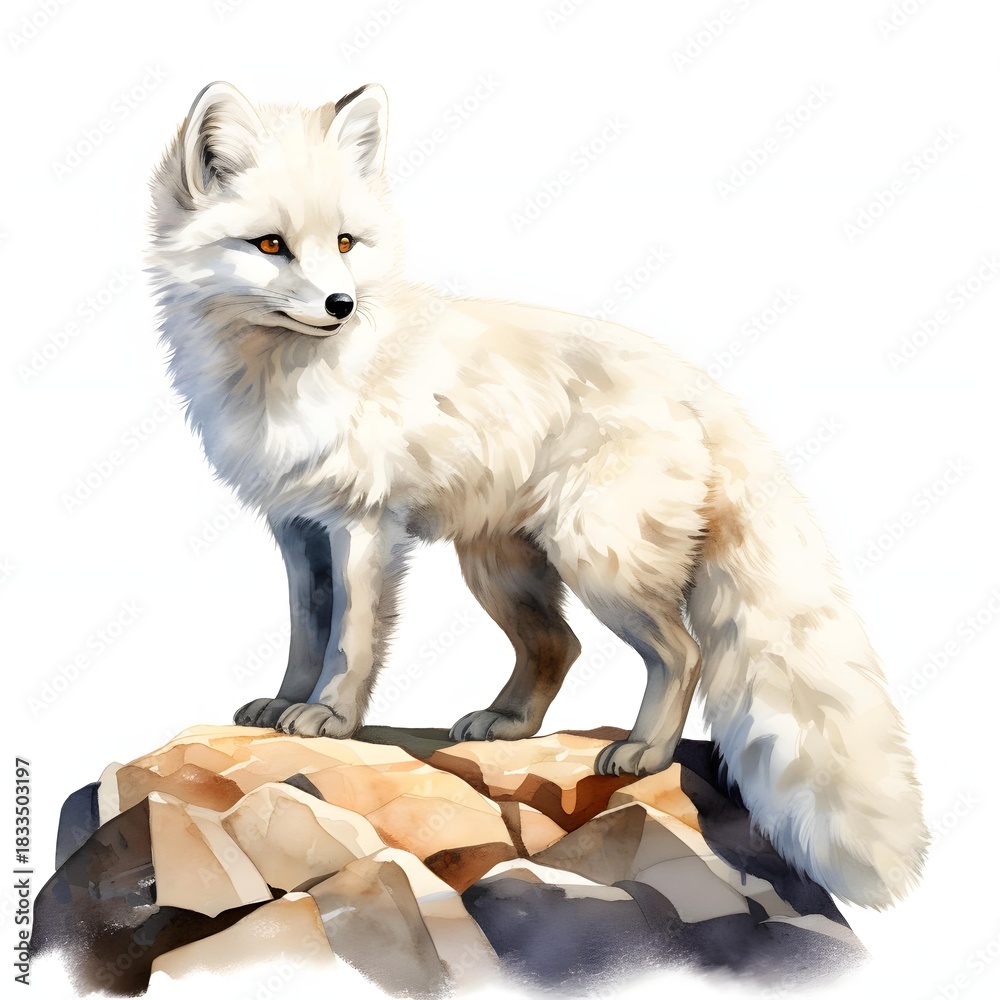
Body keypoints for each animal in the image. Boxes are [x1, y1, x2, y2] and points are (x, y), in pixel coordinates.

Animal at [148, 81, 927, 909]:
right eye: (270, 245)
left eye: (347, 243)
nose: (340, 305)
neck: (285, 380)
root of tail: (699, 382)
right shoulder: (297, 527)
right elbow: (305, 628)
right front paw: (280, 708)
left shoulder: (362, 524)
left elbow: (350, 639)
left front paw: (329, 713)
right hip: (501, 566)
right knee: (560, 646)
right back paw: (509, 723)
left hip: (599, 563)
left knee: (681, 652)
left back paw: (643, 753)